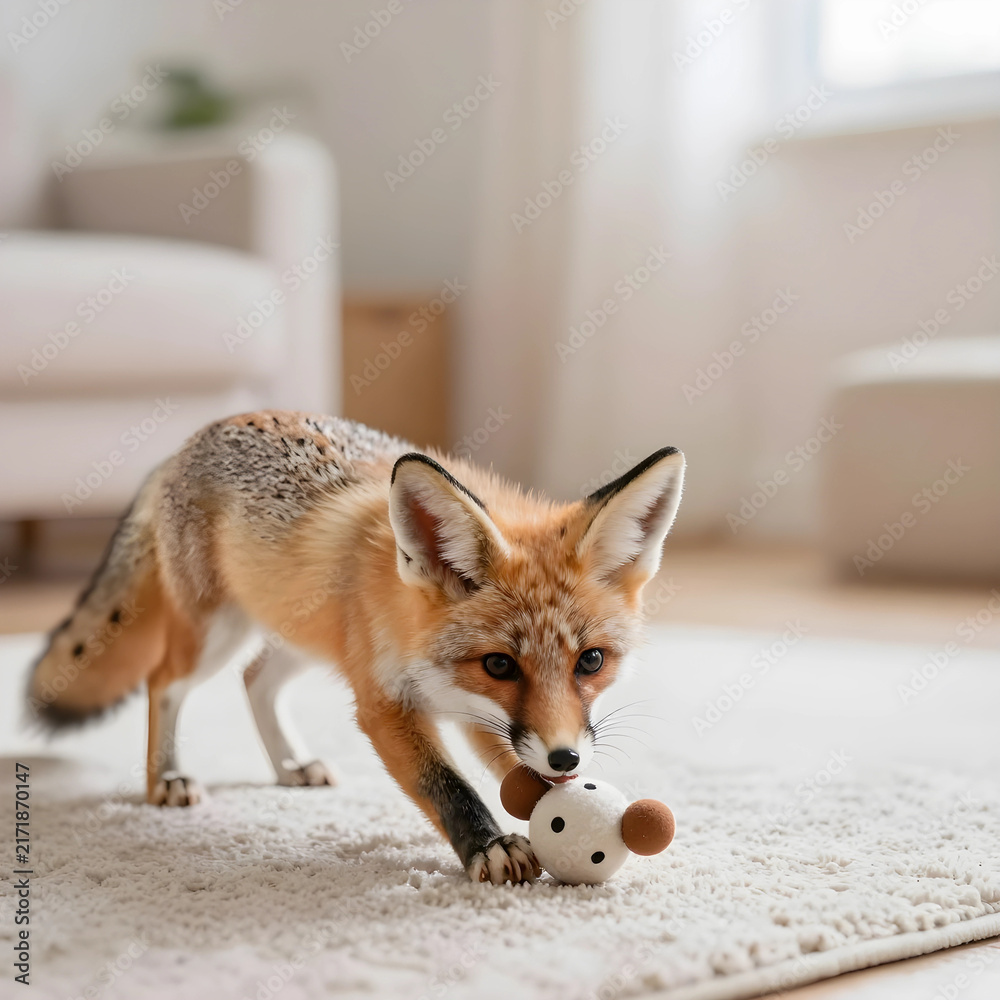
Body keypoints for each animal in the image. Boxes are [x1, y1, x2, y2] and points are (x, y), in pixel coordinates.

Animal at [27, 411, 684, 885]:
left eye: (591, 661)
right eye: (500, 664)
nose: (567, 759)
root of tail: (189, 442)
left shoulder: (478, 712)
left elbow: (515, 768)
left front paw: (566, 806)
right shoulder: (385, 704)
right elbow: (447, 784)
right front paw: (491, 844)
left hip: (302, 635)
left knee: (254, 679)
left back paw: (289, 767)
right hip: (214, 636)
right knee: (165, 681)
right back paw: (166, 777)